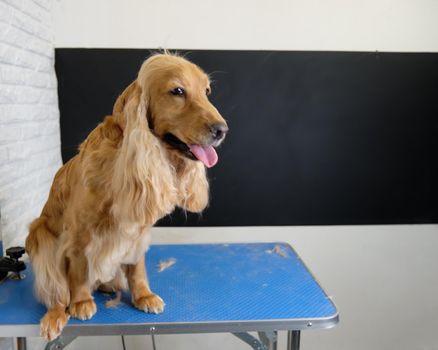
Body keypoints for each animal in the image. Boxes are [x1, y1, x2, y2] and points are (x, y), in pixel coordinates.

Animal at [25, 53, 228, 340]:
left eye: (207, 91)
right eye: (177, 91)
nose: (222, 130)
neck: (121, 160)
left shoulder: (137, 231)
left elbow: (136, 268)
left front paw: (143, 295)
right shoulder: (78, 233)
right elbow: (78, 271)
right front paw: (80, 301)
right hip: (40, 235)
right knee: (56, 290)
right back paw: (56, 314)